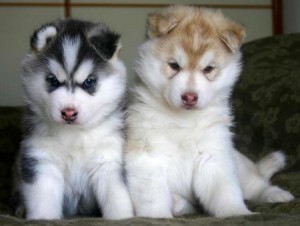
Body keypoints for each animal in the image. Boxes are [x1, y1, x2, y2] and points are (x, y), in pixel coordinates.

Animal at [14, 18, 133, 220]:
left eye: (89, 81)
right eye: (53, 80)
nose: (68, 112)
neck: (74, 136)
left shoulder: (109, 160)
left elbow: (117, 199)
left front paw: (123, 218)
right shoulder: (41, 159)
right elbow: (43, 201)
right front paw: (43, 219)